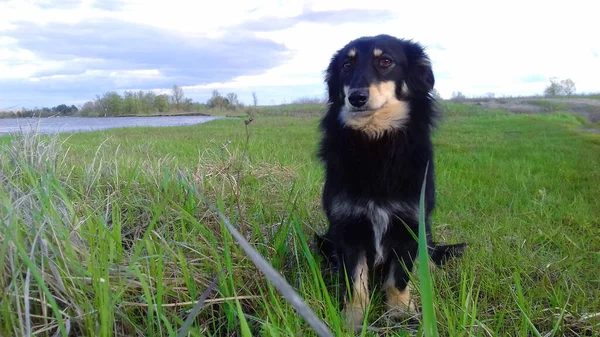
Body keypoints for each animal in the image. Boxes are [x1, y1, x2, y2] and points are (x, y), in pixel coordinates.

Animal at [316, 34, 466, 326]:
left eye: (385, 61)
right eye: (346, 66)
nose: (356, 97)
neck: (376, 143)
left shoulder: (410, 225)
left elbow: (398, 279)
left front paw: (399, 313)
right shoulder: (347, 227)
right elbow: (355, 280)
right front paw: (353, 318)